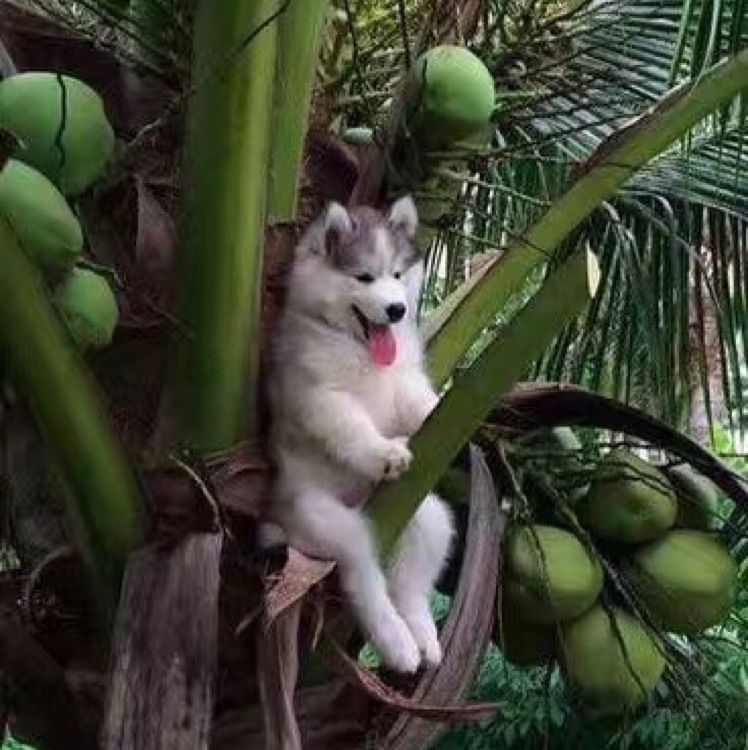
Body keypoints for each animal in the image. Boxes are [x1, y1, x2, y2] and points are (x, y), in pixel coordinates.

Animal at [268, 196, 454, 673]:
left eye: (397, 275)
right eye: (364, 277)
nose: (397, 310)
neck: (360, 348)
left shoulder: (403, 381)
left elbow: (417, 403)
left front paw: (436, 409)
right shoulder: (320, 395)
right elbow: (350, 426)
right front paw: (383, 452)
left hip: (426, 515)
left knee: (413, 578)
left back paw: (423, 636)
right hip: (322, 521)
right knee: (363, 576)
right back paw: (397, 642)